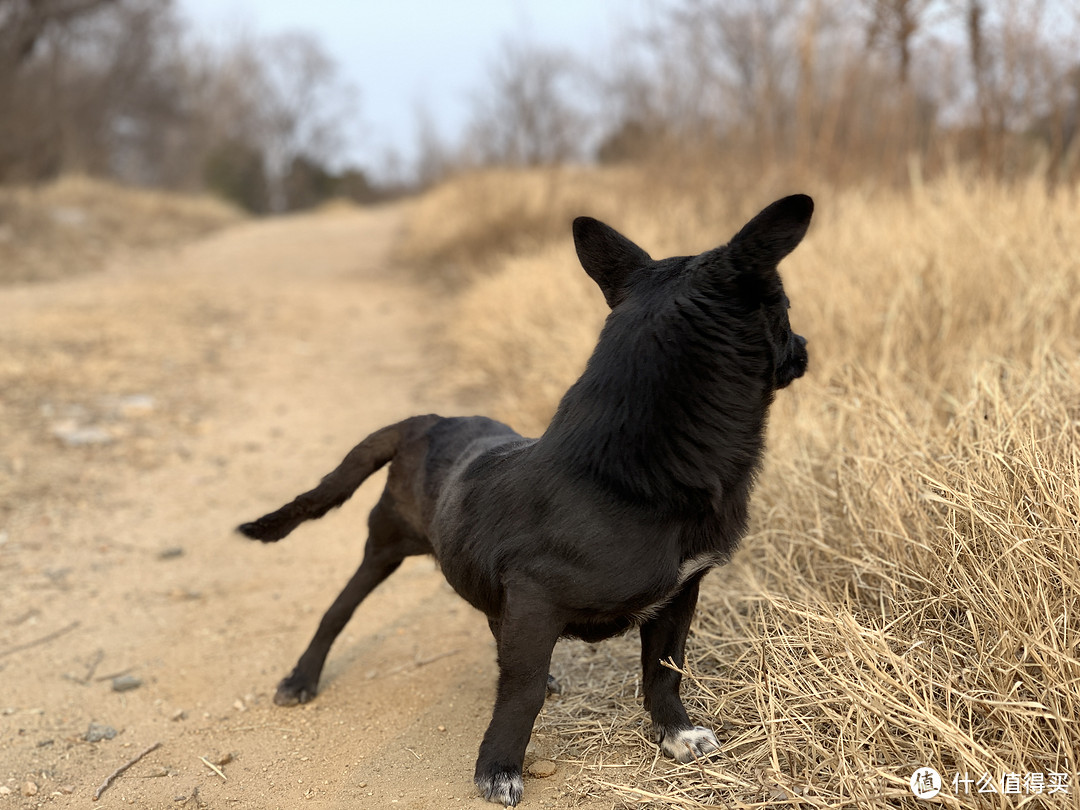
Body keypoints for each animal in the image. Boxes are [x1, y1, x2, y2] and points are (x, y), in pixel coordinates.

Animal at [236, 195, 812, 807]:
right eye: (786, 308)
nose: (804, 348)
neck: (626, 474)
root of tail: (423, 422)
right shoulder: (537, 596)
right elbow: (523, 689)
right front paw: (498, 767)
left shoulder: (679, 594)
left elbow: (664, 667)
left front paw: (675, 734)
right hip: (384, 547)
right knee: (338, 611)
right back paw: (302, 677)